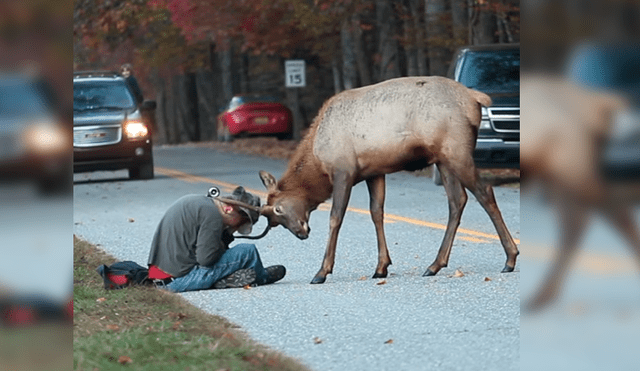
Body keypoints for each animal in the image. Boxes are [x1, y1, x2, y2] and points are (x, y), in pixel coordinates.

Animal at [258, 76, 520, 284]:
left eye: (278, 209)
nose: (301, 233)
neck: (318, 163)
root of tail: (475, 99)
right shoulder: (374, 172)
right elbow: (377, 213)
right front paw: (381, 267)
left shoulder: (344, 171)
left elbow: (335, 218)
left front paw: (322, 271)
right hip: (443, 159)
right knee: (458, 200)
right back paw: (435, 264)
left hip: (457, 151)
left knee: (484, 192)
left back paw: (510, 258)